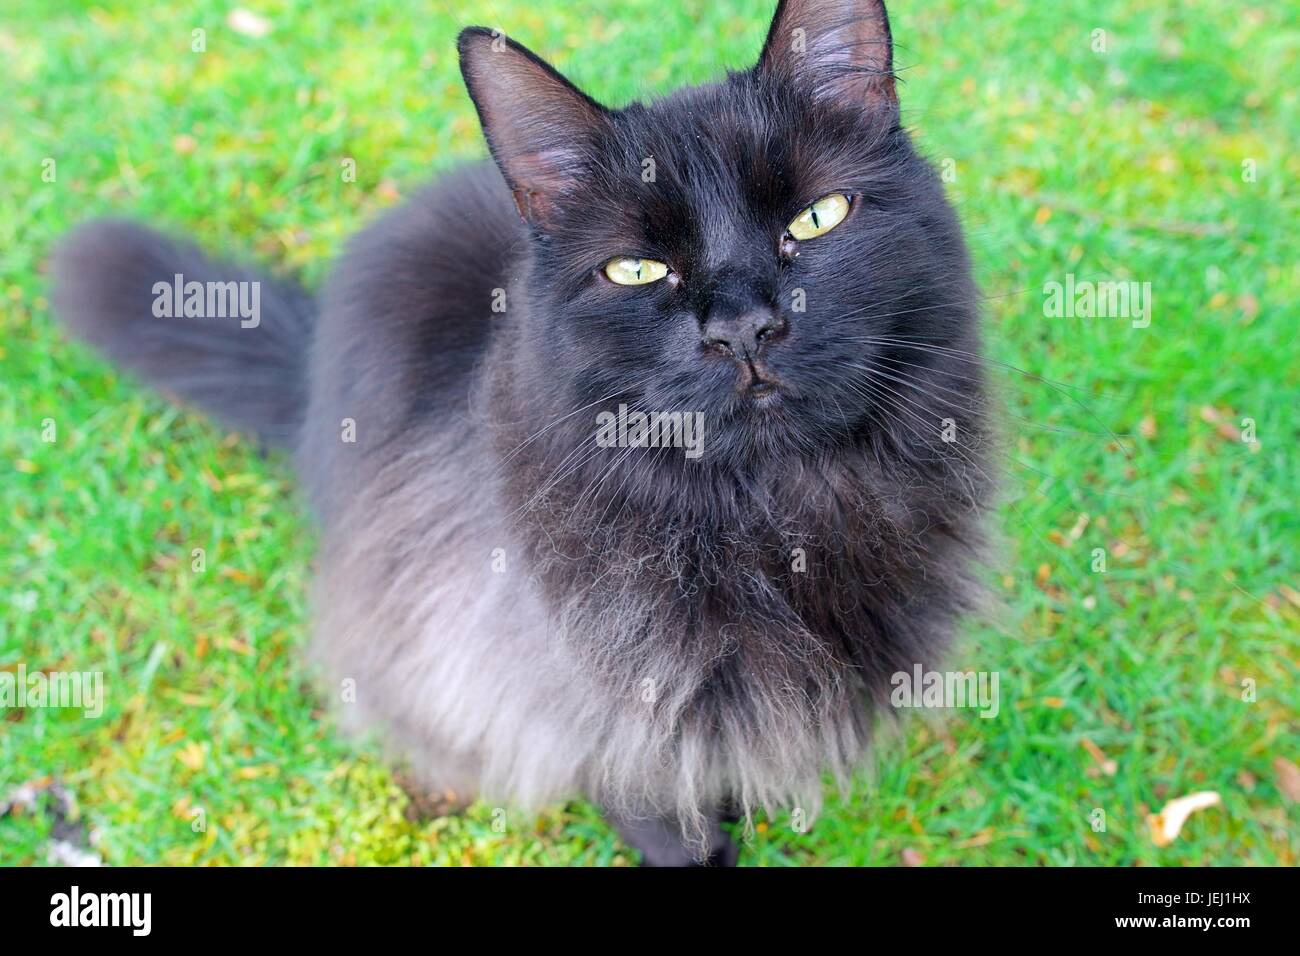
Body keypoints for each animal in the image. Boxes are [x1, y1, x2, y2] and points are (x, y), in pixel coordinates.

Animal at [48, 0, 993, 868]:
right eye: (636, 269)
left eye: (817, 219)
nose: (743, 329)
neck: (771, 514)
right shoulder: (574, 666)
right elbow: (642, 788)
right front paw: (693, 846)